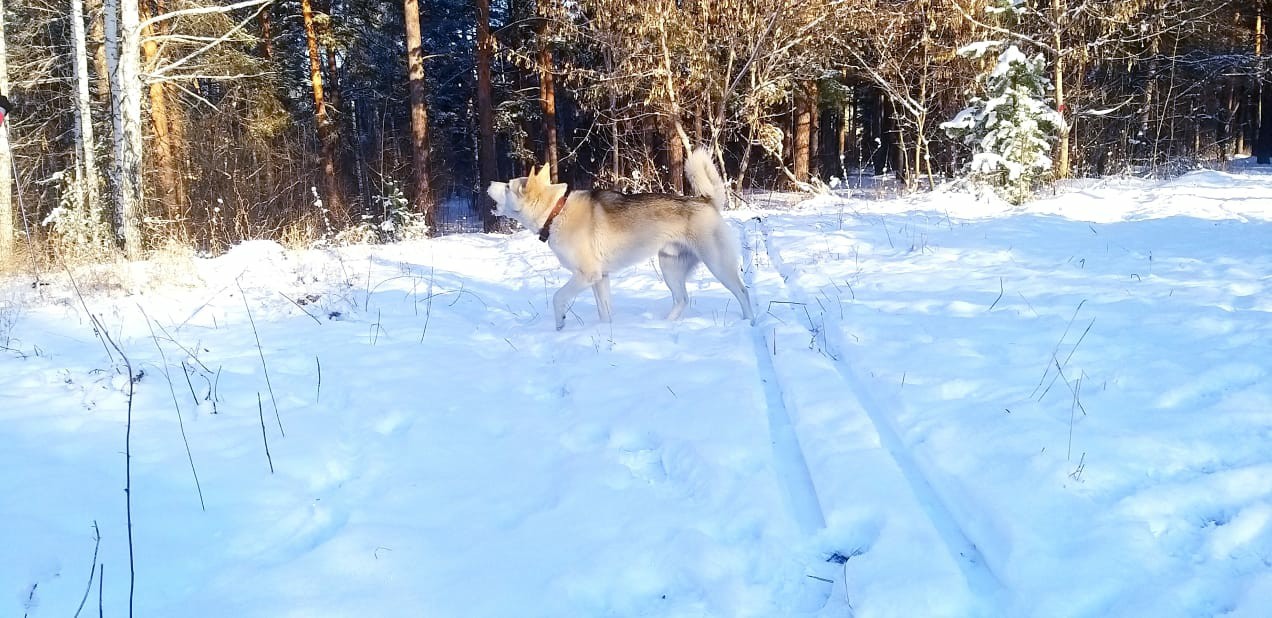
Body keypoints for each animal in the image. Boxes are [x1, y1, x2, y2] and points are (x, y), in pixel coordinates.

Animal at [488, 148, 753, 330]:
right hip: (670, 267)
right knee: (682, 299)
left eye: (508, 186)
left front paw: (560, 324)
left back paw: (749, 321)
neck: (556, 211)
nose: (490, 182)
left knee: (743, 292)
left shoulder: (587, 275)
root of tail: (707, 201)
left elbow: (557, 297)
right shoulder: (600, 279)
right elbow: (604, 312)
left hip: (718, 265)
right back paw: (665, 325)